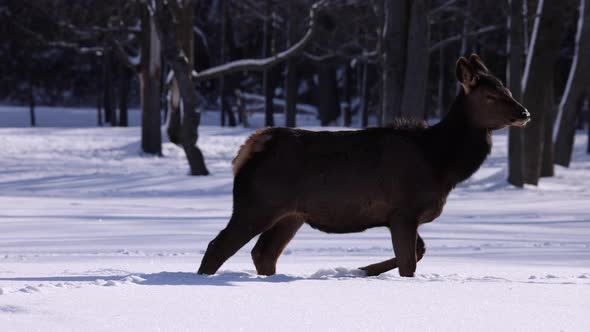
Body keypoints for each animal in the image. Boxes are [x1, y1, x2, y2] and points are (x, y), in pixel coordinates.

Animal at [198, 55, 532, 278]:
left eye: (507, 89)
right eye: (490, 96)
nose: (524, 113)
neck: (442, 164)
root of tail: (251, 147)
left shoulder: (401, 215)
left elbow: (418, 252)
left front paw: (365, 269)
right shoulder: (404, 211)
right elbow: (410, 261)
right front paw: (367, 269)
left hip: (291, 215)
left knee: (263, 252)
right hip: (257, 203)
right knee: (218, 246)